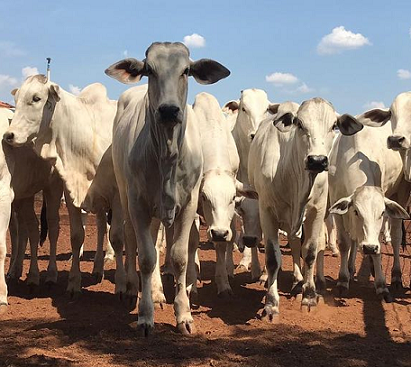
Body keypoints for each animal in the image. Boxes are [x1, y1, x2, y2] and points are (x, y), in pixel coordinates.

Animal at [4, 75, 117, 296]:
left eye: (36, 98)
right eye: (16, 98)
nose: (9, 135)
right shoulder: (73, 192)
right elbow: (76, 236)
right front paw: (73, 282)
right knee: (101, 226)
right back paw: (97, 268)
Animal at [104, 41, 230, 334]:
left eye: (186, 70)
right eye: (149, 69)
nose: (169, 110)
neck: (167, 156)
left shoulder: (188, 204)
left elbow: (180, 256)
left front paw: (183, 314)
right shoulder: (138, 204)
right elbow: (147, 258)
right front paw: (145, 315)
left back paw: (158, 291)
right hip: (125, 197)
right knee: (130, 241)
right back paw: (133, 287)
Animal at [249, 99, 362, 320]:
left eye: (334, 126)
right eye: (299, 124)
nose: (317, 160)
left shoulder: (316, 211)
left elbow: (309, 252)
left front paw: (309, 296)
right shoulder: (267, 210)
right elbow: (272, 257)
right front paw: (271, 304)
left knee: (298, 245)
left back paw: (302, 280)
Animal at [330, 123, 410, 302]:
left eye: (382, 213)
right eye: (356, 211)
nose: (369, 247)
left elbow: (379, 247)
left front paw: (381, 285)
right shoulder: (337, 205)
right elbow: (344, 243)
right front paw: (343, 280)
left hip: (401, 194)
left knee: (396, 237)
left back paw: (396, 276)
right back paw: (352, 268)